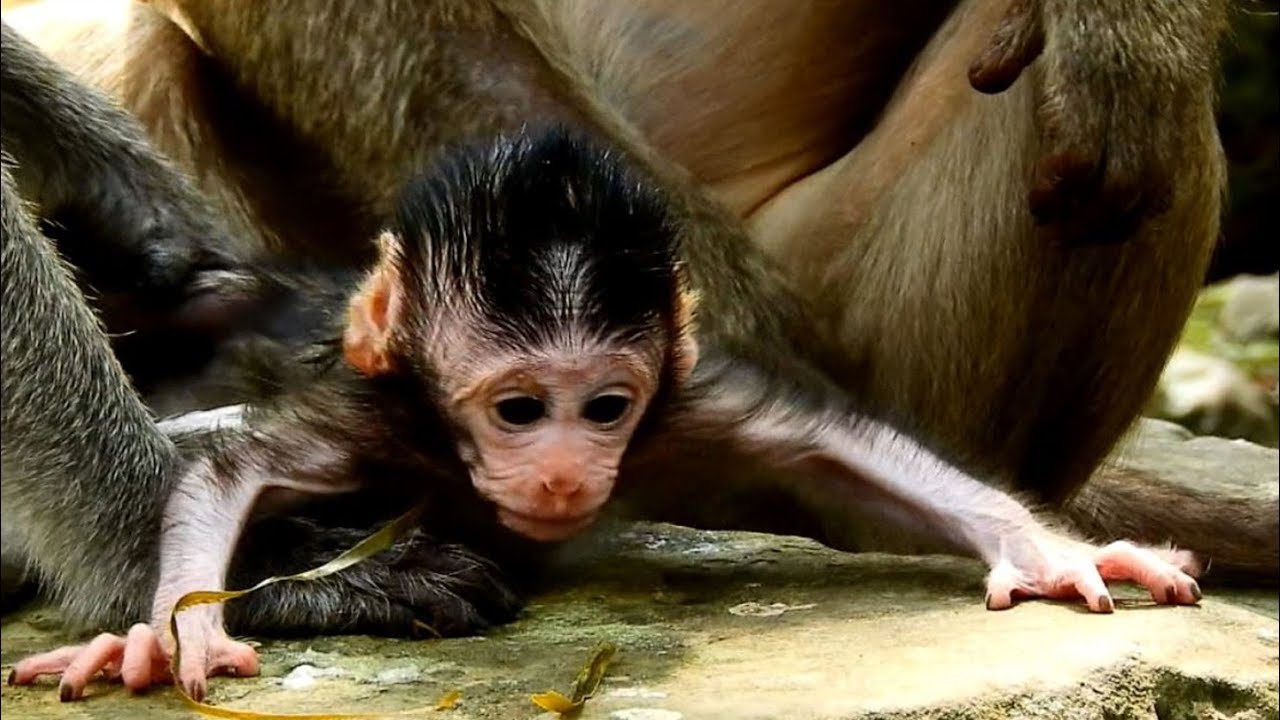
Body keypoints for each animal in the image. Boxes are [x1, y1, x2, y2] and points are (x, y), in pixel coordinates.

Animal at [9, 123, 1204, 701]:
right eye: (518, 409)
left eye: (604, 407)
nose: (560, 473)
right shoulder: (381, 413)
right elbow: (229, 477)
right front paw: (183, 628)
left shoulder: (685, 410)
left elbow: (843, 452)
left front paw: (1056, 552)